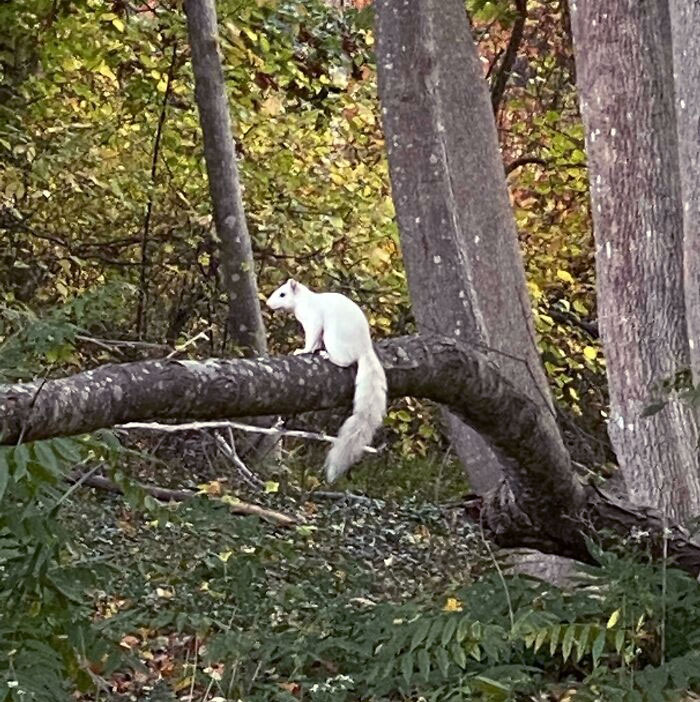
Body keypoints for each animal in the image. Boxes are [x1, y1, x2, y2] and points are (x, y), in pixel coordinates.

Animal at [266, 279, 387, 483]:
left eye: (282, 294)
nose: (268, 303)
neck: (304, 301)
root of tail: (364, 348)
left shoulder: (313, 320)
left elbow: (312, 338)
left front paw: (303, 350)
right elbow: (315, 341)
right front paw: (311, 349)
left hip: (334, 338)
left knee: (345, 360)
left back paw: (327, 356)